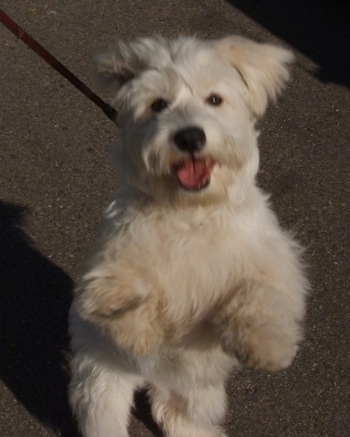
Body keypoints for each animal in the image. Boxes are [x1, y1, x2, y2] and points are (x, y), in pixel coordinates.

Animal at [69, 35, 308, 436]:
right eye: (158, 104)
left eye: (214, 99)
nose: (190, 136)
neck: (191, 213)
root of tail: (157, 381)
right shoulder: (111, 265)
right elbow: (120, 298)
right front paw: (140, 331)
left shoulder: (272, 262)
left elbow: (259, 295)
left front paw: (266, 347)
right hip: (100, 386)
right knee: (108, 416)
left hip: (200, 394)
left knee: (178, 415)